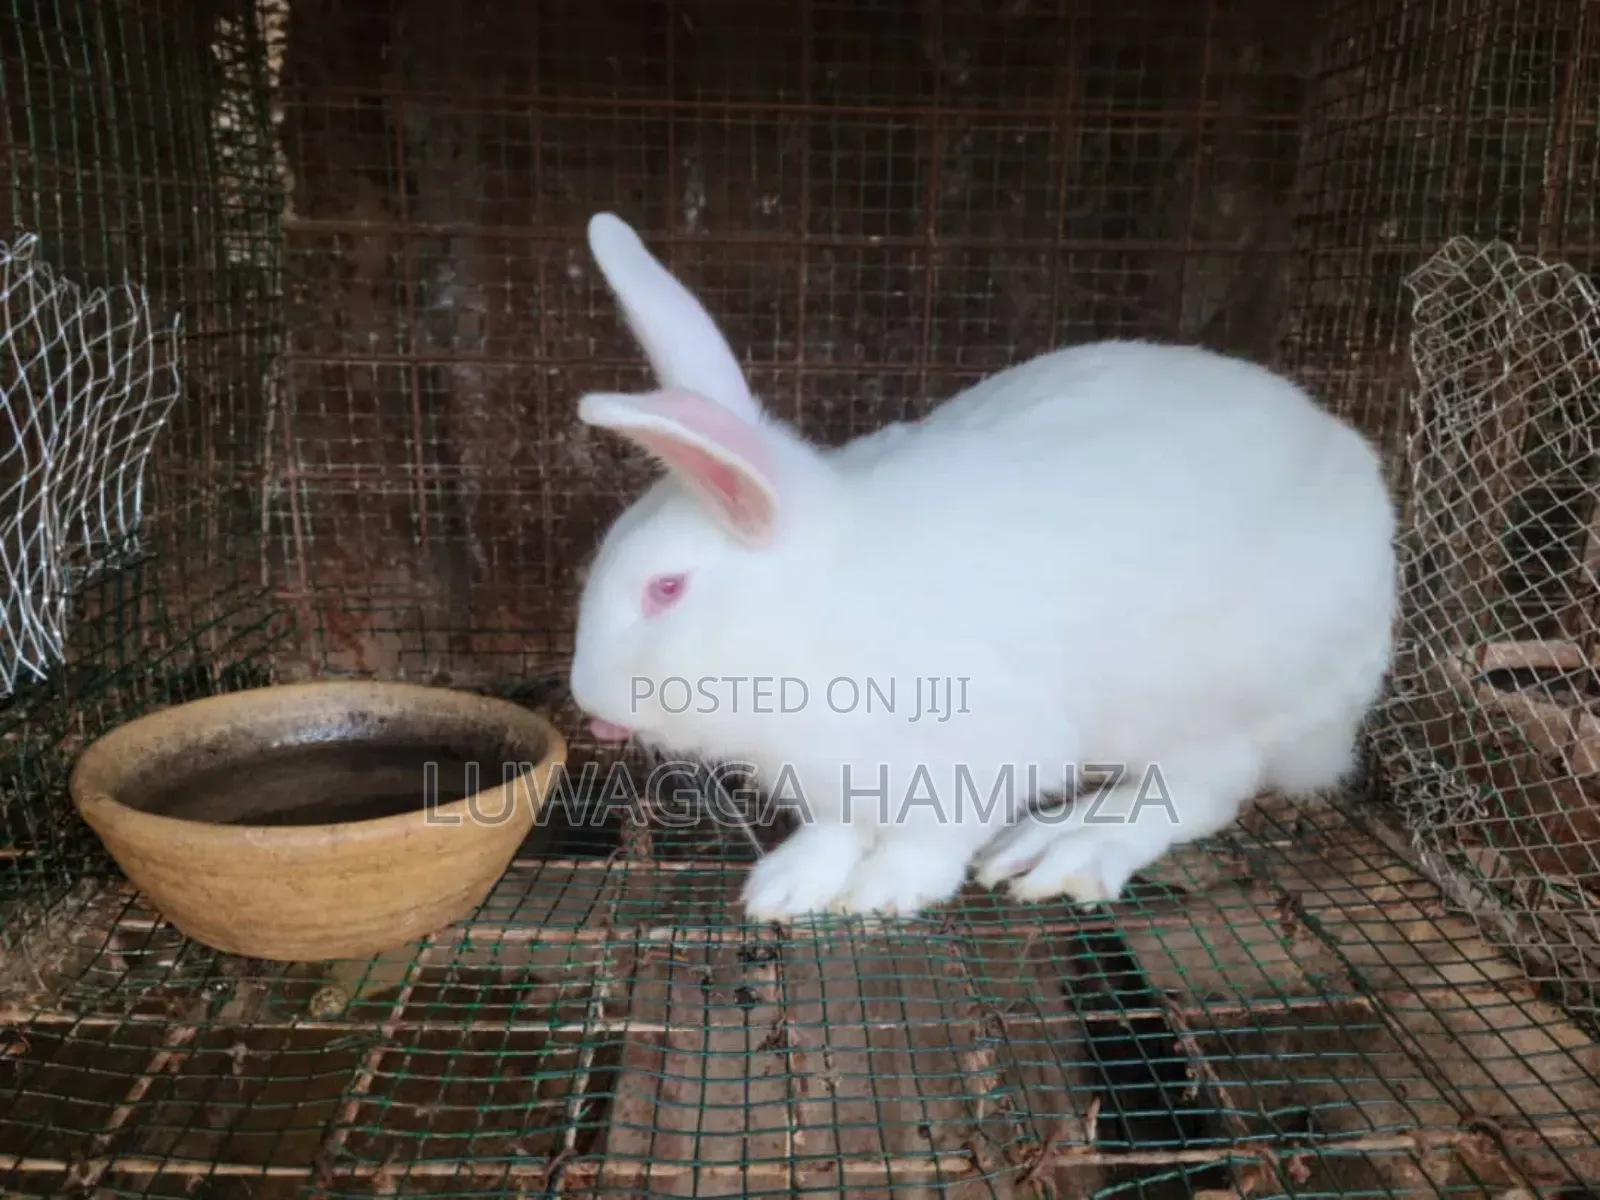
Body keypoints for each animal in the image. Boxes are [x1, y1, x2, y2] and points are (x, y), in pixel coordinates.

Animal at [567, 211, 1398, 923]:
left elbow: (928, 838)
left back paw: (1062, 849)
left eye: (667, 589)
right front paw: (785, 887)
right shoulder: (835, 782)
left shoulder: (984, 752)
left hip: (1219, 710)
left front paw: (885, 892)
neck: (823, 613)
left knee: (1193, 796)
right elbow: (833, 832)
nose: (588, 704)